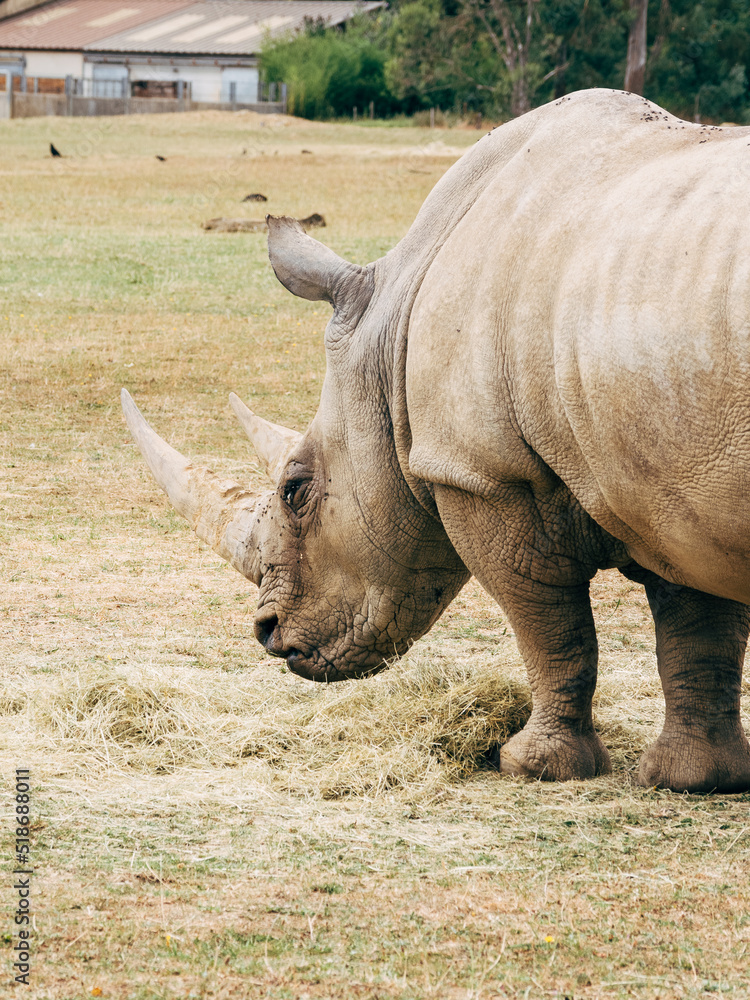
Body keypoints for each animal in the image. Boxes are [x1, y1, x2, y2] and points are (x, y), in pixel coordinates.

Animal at [122, 88, 750, 795]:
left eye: (295, 490)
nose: (266, 633)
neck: (392, 325)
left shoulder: (482, 472)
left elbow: (549, 624)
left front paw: (531, 766)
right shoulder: (668, 482)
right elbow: (699, 628)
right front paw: (695, 780)